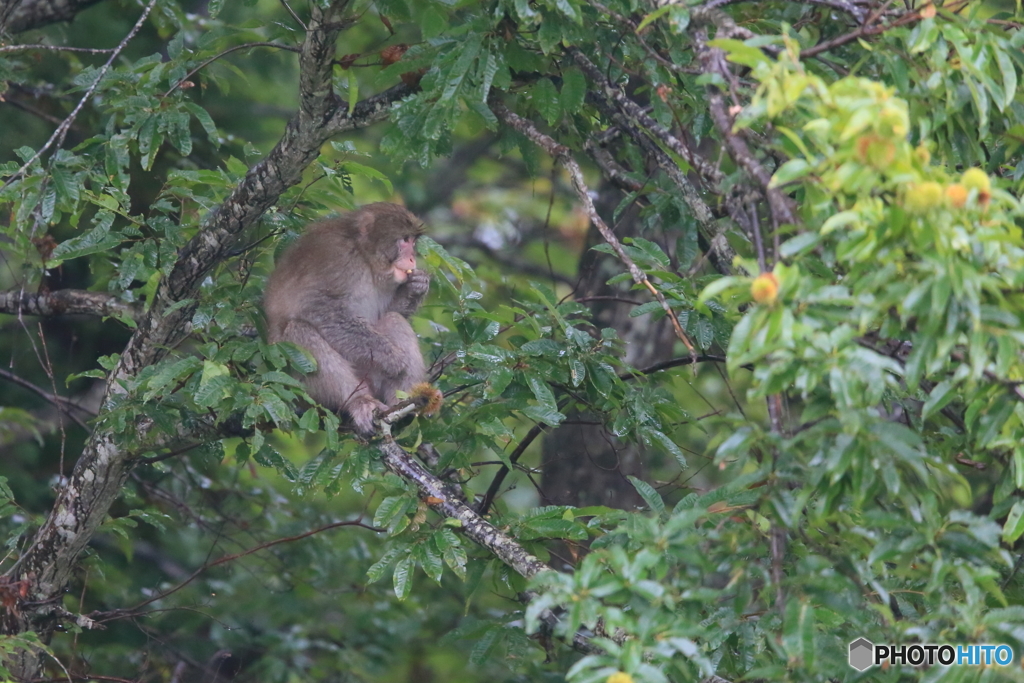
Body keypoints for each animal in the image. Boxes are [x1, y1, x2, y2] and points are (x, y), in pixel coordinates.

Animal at [262, 202, 438, 436]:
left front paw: (416, 287)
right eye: (404, 239)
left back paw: (400, 406)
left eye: (412, 241)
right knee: (298, 330)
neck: (365, 258)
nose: (412, 258)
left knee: (392, 319)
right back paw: (360, 402)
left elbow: (390, 312)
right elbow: (319, 308)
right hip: (302, 390)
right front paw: (393, 359)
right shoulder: (338, 258)